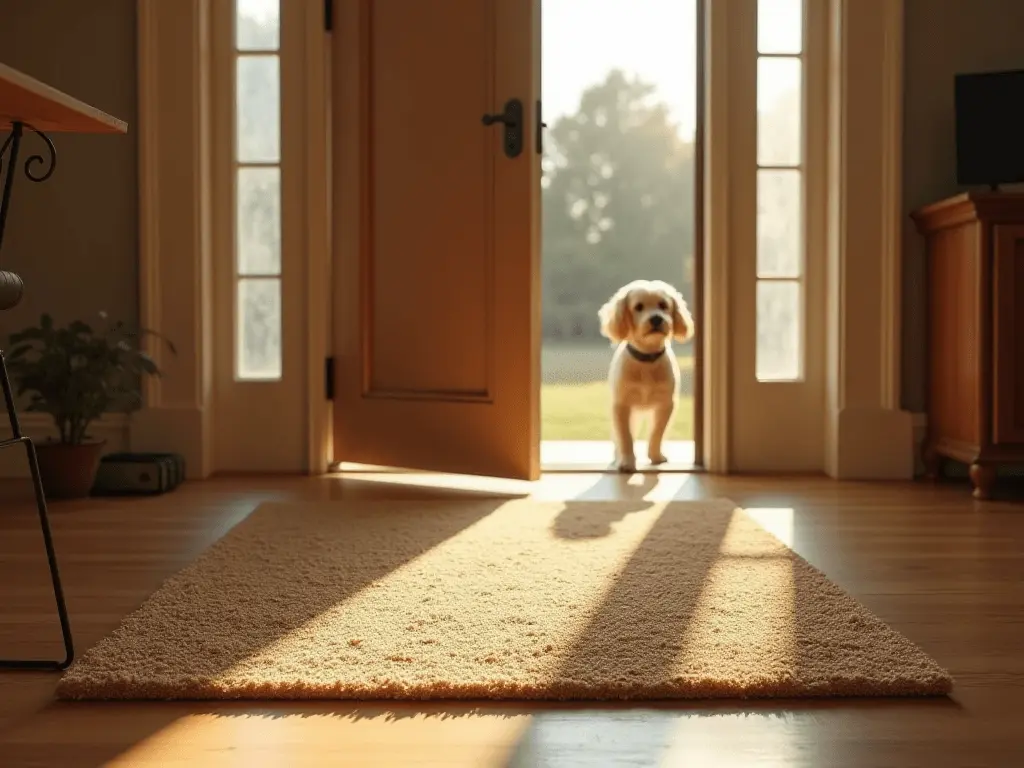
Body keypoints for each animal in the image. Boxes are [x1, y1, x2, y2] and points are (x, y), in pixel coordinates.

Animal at [598, 280, 696, 473]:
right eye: (638, 307)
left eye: (663, 305)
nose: (656, 318)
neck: (647, 362)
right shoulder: (622, 406)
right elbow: (625, 437)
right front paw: (627, 462)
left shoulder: (666, 404)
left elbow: (657, 433)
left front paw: (656, 456)